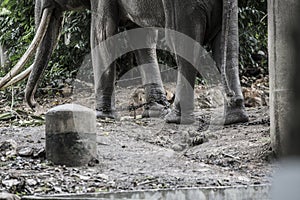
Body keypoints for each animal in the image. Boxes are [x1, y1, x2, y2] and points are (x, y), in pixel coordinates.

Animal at [0, 0, 248, 125]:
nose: (34, 105)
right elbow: (140, 36)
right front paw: (154, 112)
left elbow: (101, 33)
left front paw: (100, 115)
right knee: (229, 46)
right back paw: (233, 118)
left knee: (185, 47)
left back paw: (176, 118)